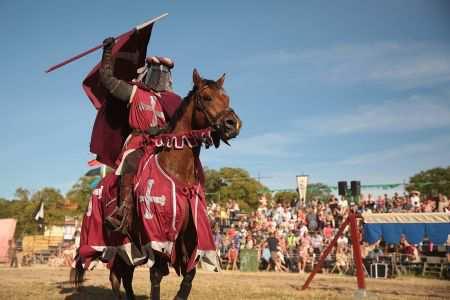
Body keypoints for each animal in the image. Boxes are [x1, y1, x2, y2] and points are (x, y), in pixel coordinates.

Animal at [71, 68, 241, 300]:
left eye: (227, 98)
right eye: (207, 97)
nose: (233, 124)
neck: (178, 171)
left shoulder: (191, 238)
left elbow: (190, 275)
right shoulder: (156, 236)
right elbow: (157, 276)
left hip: (127, 246)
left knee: (125, 276)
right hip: (110, 242)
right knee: (116, 278)